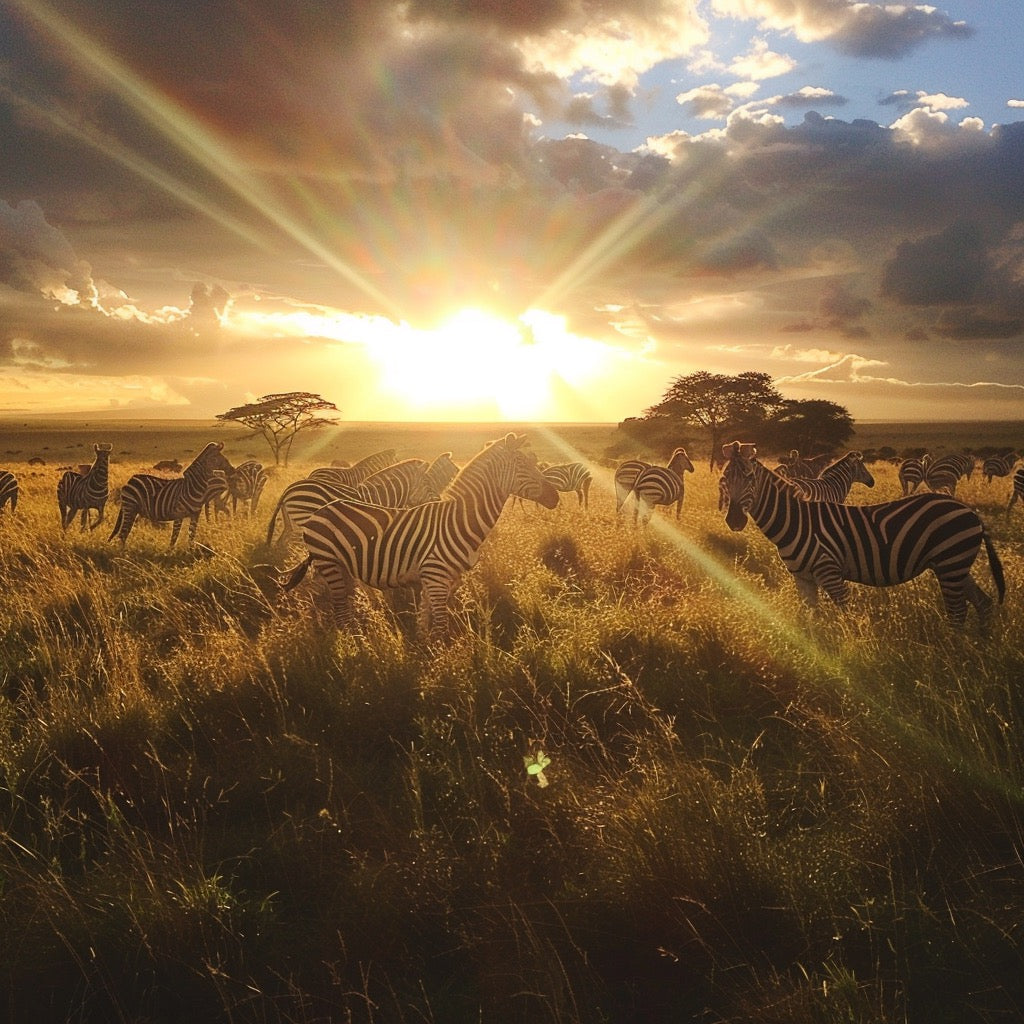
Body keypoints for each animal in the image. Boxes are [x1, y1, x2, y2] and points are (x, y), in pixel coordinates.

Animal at [280, 434, 561, 638]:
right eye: (523, 464)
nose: (556, 497)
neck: (458, 521)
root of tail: (320, 510)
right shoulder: (435, 577)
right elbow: (441, 627)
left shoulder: (442, 579)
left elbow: (428, 621)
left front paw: (429, 653)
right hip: (329, 563)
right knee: (338, 608)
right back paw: (354, 647)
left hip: (337, 566)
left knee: (333, 601)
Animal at [716, 438, 1003, 622]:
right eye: (725, 479)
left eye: (750, 478)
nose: (734, 521)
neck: (796, 522)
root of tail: (971, 512)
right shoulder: (803, 579)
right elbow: (811, 621)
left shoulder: (830, 573)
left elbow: (849, 621)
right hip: (954, 565)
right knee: (984, 604)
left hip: (950, 563)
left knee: (958, 613)